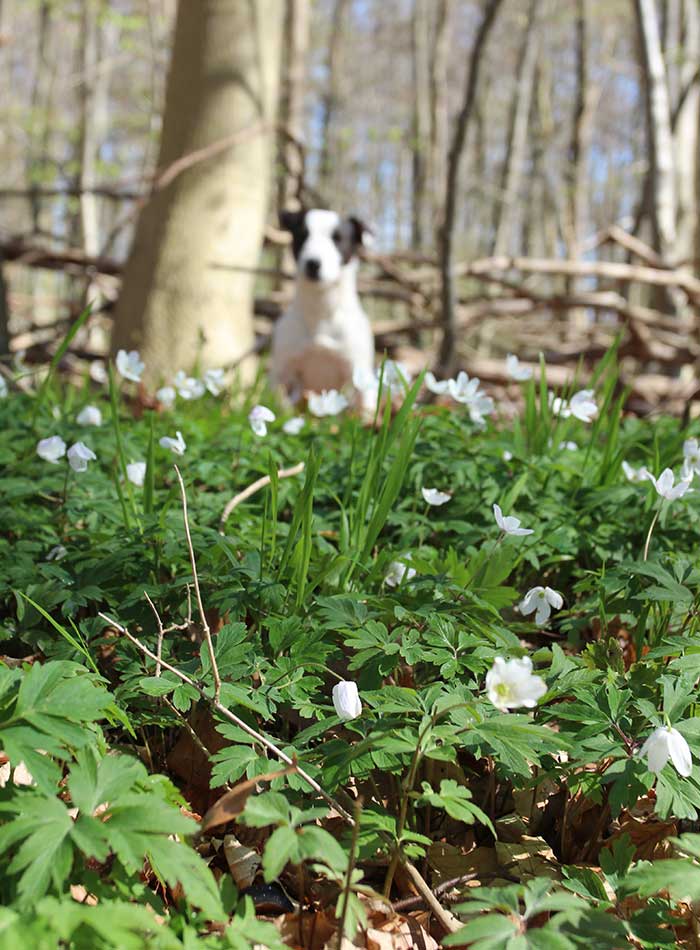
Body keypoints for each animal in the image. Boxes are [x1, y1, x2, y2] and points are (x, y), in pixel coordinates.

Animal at [270, 210, 378, 400]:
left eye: (338, 238)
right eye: (302, 235)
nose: (313, 263)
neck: (321, 309)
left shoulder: (358, 372)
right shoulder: (283, 371)